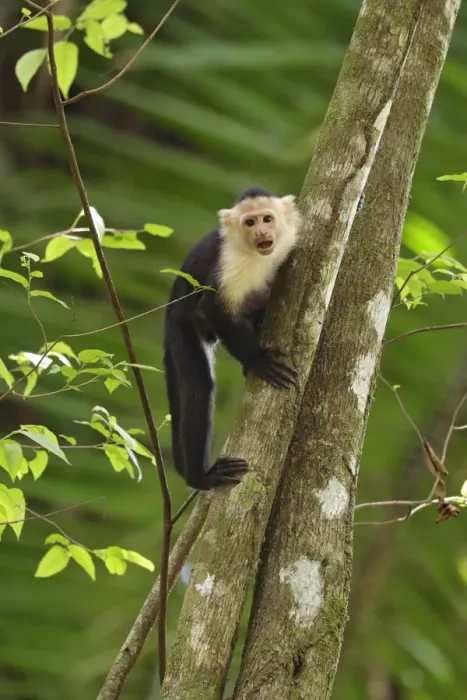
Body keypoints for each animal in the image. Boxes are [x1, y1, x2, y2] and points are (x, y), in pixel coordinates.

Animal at [163, 187, 301, 490]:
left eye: (267, 219)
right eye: (249, 223)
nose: (261, 232)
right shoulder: (229, 262)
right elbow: (213, 308)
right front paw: (258, 360)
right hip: (181, 328)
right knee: (198, 388)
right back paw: (199, 477)